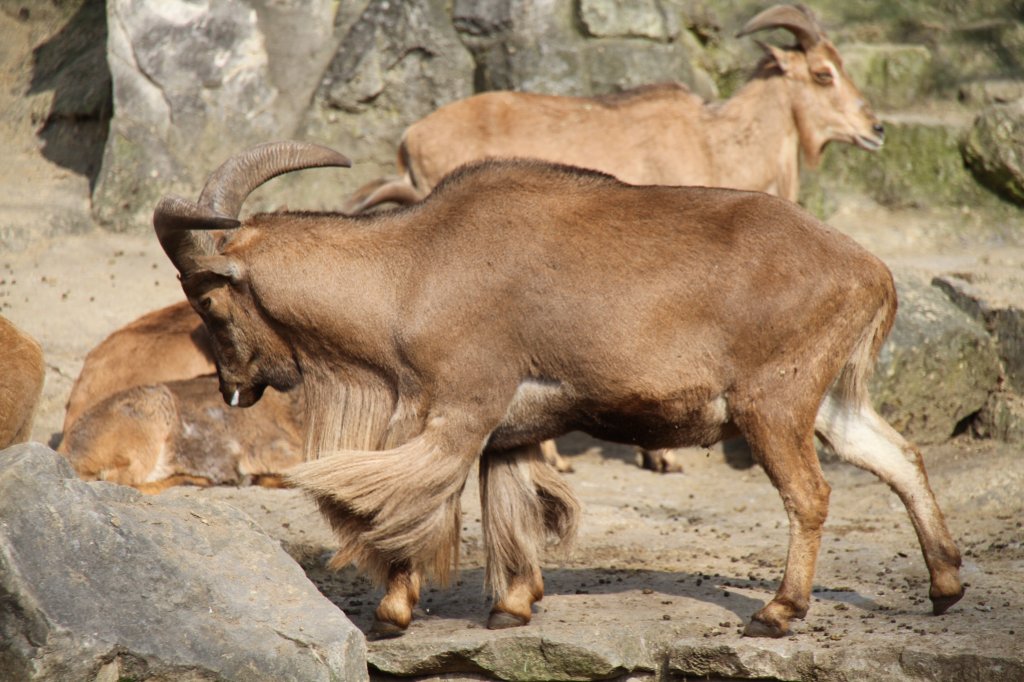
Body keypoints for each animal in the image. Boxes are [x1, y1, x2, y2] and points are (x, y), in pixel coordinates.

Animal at [151, 139, 958, 638]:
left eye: (209, 302)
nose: (232, 388)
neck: (410, 271)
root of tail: (870, 270)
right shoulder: (508, 431)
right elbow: (506, 506)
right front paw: (511, 607)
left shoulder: (456, 411)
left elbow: (409, 506)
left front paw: (390, 614)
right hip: (829, 403)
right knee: (900, 457)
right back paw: (945, 585)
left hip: (774, 404)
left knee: (811, 495)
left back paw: (777, 612)